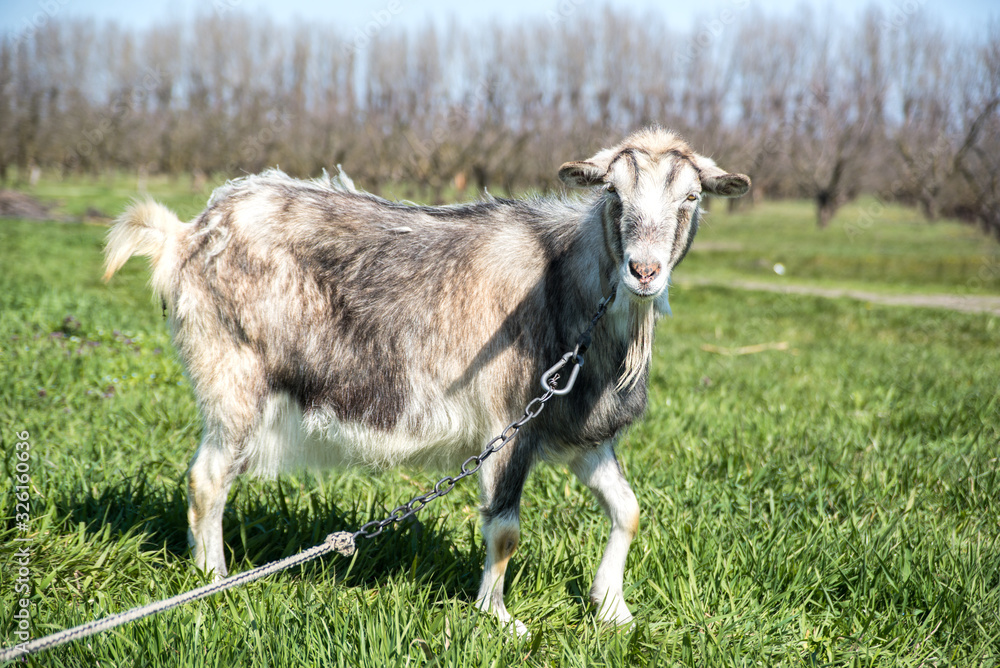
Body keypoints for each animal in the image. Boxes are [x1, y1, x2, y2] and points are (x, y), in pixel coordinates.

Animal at [103, 127, 750, 633]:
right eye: (613, 193)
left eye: (692, 197)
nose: (644, 271)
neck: (565, 281)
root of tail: (186, 234)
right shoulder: (507, 426)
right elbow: (505, 529)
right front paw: (499, 619)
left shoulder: (578, 434)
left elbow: (628, 509)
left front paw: (612, 607)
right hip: (233, 380)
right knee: (207, 479)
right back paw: (212, 580)